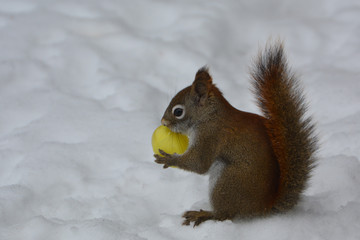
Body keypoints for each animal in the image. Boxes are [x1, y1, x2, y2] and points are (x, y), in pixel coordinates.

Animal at [155, 42, 318, 228]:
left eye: (178, 112)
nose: (163, 122)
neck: (210, 116)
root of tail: (264, 207)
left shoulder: (210, 135)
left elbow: (199, 163)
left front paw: (169, 159)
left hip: (227, 181)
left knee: (224, 214)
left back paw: (204, 215)